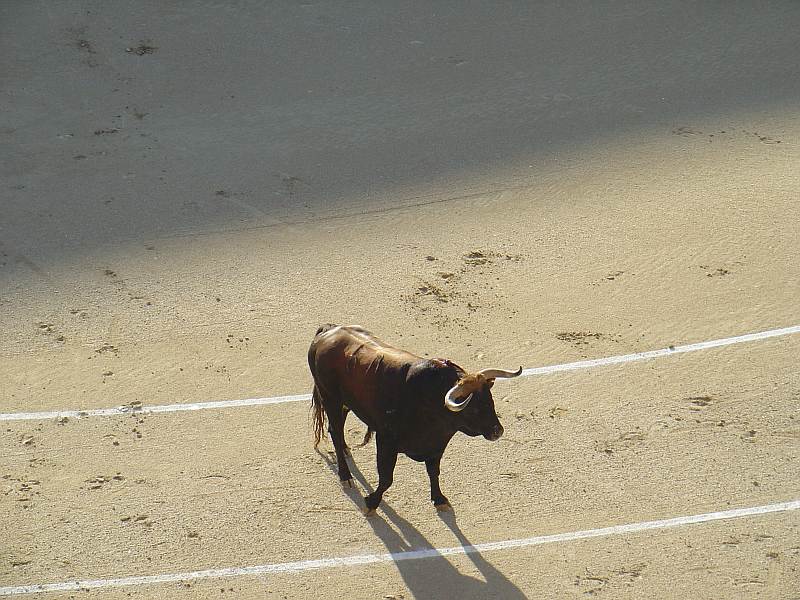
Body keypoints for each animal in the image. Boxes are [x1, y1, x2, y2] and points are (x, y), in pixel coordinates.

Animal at [304, 324, 520, 516]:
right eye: (473, 408)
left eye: (490, 401)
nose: (497, 431)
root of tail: (328, 330)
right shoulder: (386, 441)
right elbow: (386, 478)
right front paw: (371, 503)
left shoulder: (437, 445)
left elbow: (434, 472)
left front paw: (439, 499)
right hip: (330, 397)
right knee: (335, 430)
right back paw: (345, 475)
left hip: (345, 401)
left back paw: (346, 451)